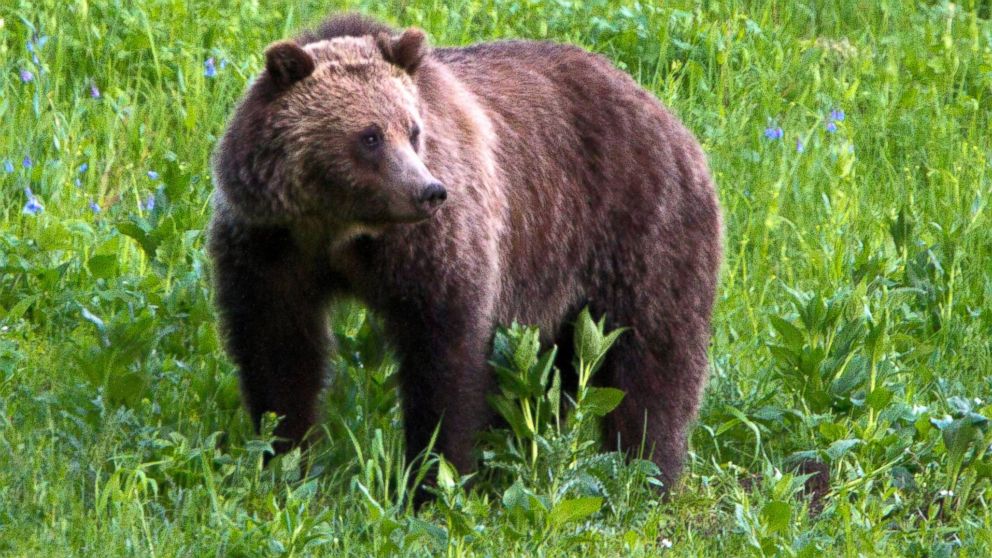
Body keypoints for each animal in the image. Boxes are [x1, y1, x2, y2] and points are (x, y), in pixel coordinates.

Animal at [208, 13, 722, 495]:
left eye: (413, 130)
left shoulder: (432, 249)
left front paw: (434, 477)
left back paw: (647, 473)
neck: (340, 230)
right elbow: (278, 351)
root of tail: (664, 111)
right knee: (550, 374)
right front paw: (285, 457)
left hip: (637, 229)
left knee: (652, 359)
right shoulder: (271, 246)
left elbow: (445, 357)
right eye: (370, 136)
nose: (428, 191)